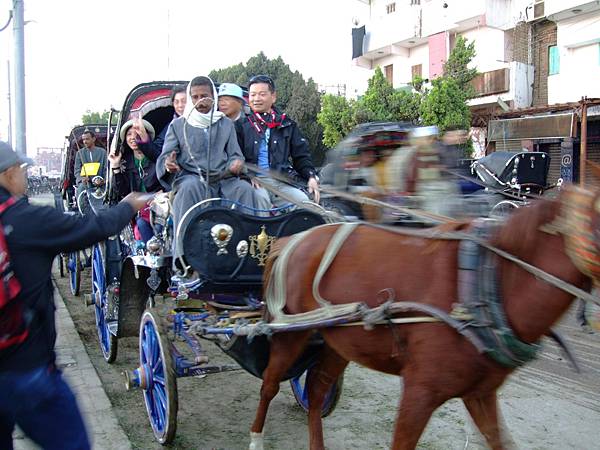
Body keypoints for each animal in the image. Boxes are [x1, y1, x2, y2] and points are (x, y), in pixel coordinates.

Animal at [248, 185, 600, 450]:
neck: (485, 281)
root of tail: (290, 240)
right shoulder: (420, 391)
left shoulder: (480, 393)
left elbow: (499, 440)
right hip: (290, 332)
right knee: (269, 384)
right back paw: (256, 438)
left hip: (339, 342)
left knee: (317, 390)